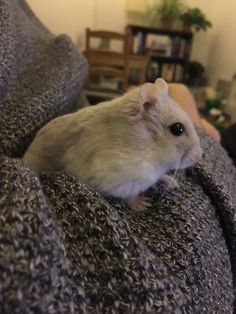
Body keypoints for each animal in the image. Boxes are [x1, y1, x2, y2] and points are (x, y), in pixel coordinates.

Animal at [23, 78, 201, 211]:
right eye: (177, 129)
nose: (199, 156)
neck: (150, 148)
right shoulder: (119, 179)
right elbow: (130, 196)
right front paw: (142, 205)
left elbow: (161, 176)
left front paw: (173, 183)